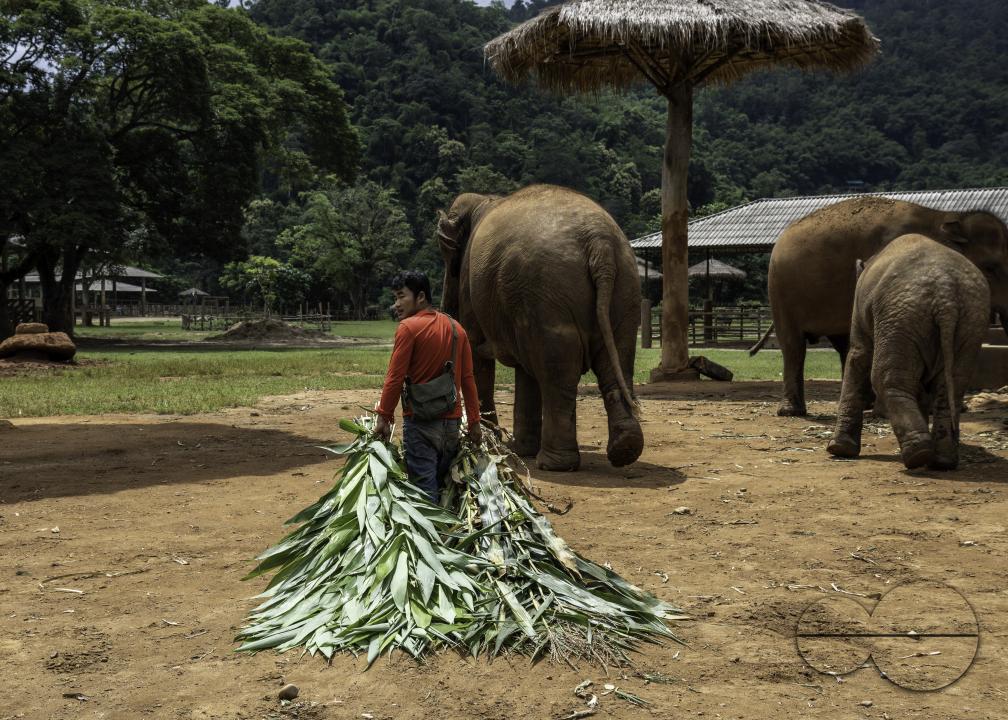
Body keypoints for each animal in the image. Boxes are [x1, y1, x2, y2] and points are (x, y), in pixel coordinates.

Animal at [436, 184, 643, 471]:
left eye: (446, 252)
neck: (485, 200)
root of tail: (598, 242)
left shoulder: (470, 287)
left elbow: (477, 355)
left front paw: (493, 442)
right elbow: (524, 372)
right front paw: (518, 449)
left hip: (547, 296)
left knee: (556, 373)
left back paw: (553, 463)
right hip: (624, 290)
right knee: (618, 361)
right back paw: (625, 449)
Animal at [749, 196, 1008, 417]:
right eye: (991, 267)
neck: (945, 217)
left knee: (845, 343)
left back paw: (862, 403)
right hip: (780, 292)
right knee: (793, 346)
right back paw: (792, 411)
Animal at [827, 234, 989, 470]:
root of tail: (946, 294)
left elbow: (858, 355)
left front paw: (838, 450)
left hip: (901, 318)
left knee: (887, 380)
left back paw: (918, 456)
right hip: (969, 321)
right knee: (952, 387)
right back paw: (942, 461)